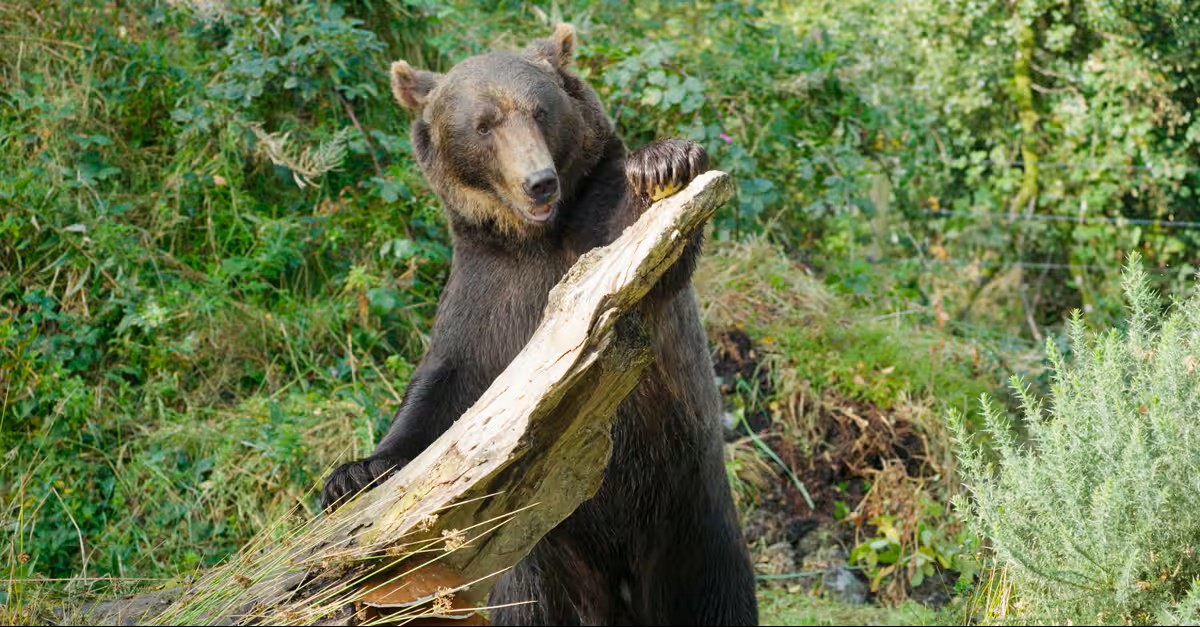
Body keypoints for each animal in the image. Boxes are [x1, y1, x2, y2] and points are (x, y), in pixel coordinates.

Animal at [322, 24, 758, 626]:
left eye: (540, 110)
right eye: (483, 124)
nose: (539, 183)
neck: (537, 239)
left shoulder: (596, 242)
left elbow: (650, 254)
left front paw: (664, 161)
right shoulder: (488, 294)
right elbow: (441, 390)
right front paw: (353, 472)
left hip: (690, 517)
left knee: (714, 596)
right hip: (543, 558)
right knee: (529, 604)